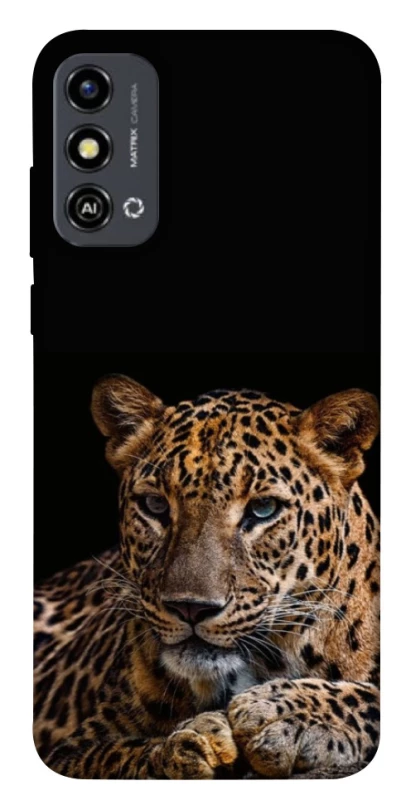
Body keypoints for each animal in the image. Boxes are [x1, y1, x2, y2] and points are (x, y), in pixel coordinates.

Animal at [34, 374, 380, 779]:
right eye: (155, 505)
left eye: (263, 509)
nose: (190, 608)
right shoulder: (69, 752)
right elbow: (118, 757)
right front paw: (187, 747)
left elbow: (371, 697)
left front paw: (282, 713)